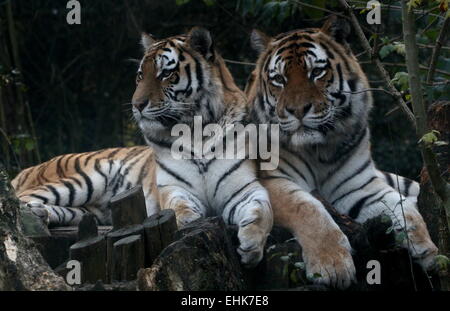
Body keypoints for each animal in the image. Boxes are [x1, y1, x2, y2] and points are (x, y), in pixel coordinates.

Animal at [128, 28, 272, 266]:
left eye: (165, 74)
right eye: (140, 76)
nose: (137, 105)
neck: (196, 132)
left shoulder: (243, 188)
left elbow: (261, 209)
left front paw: (251, 244)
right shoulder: (173, 187)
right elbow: (178, 206)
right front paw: (188, 221)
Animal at [244, 16, 438, 290]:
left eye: (316, 72)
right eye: (279, 79)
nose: (297, 110)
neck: (319, 150)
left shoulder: (359, 185)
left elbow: (402, 207)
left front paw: (428, 250)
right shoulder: (271, 179)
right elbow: (308, 208)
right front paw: (333, 266)